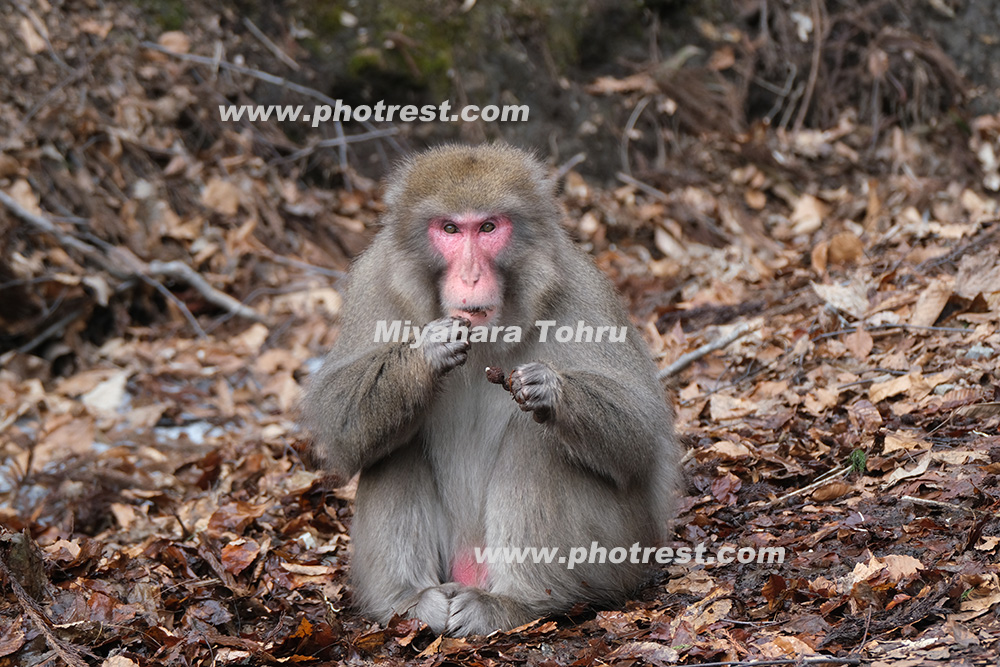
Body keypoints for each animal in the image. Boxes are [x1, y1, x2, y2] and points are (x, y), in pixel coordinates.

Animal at [304, 145, 680, 636]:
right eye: (449, 229)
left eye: (488, 228)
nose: (469, 276)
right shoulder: (374, 281)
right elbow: (341, 417)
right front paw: (426, 353)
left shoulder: (580, 288)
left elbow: (640, 437)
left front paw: (550, 389)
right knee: (394, 443)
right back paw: (410, 602)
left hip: (619, 554)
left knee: (535, 439)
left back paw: (518, 601)